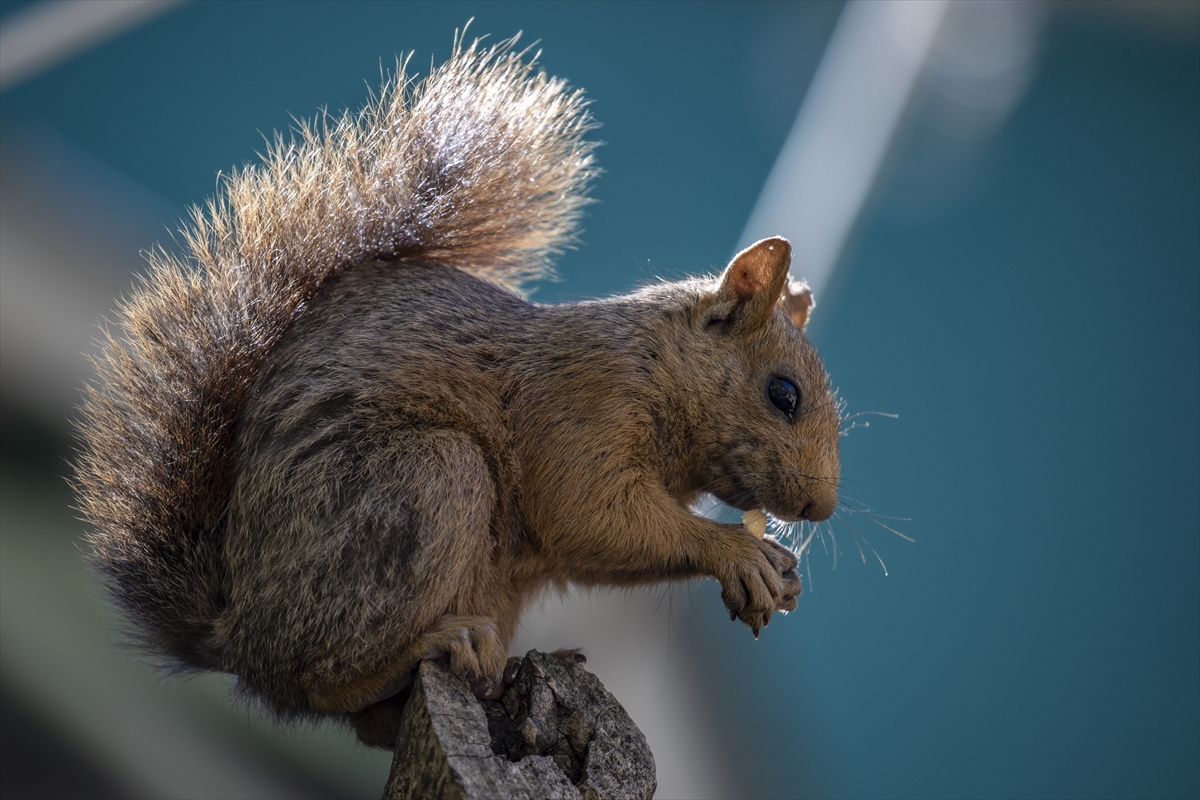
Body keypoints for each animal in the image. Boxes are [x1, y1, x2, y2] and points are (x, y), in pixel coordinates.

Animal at [70, 32, 840, 753]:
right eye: (784, 394)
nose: (821, 508)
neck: (658, 366)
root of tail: (236, 632)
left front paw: (786, 571)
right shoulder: (581, 409)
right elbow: (590, 515)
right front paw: (737, 553)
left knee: (368, 725)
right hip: (421, 485)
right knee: (322, 681)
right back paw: (434, 646)